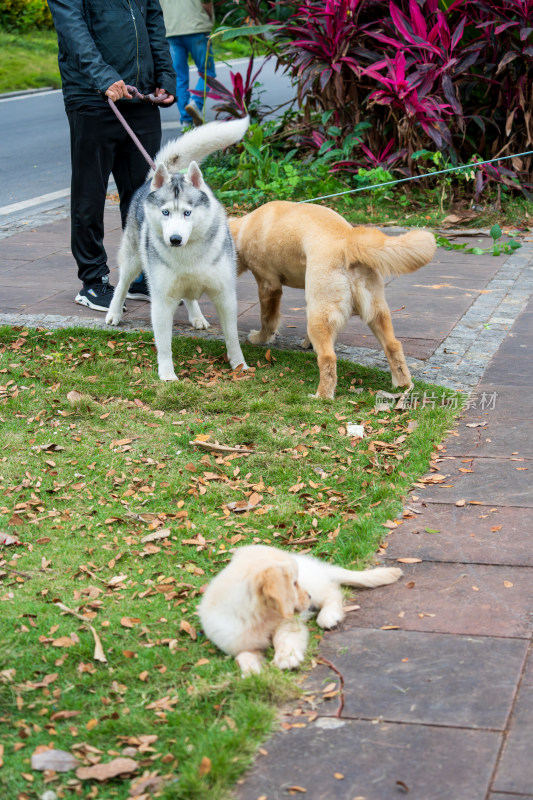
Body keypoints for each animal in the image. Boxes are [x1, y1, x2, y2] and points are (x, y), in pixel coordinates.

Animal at [108, 116, 251, 382]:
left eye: (187, 213)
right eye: (165, 212)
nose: (174, 239)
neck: (188, 253)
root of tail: (155, 177)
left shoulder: (225, 295)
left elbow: (233, 337)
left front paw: (239, 366)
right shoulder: (162, 300)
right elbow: (164, 344)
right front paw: (167, 374)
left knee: (189, 295)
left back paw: (197, 317)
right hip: (133, 260)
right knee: (122, 284)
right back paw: (113, 312)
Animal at [197, 544, 402, 676]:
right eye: (294, 583)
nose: (308, 596)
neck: (259, 617)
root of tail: (319, 567)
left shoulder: (289, 621)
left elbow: (283, 637)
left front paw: (286, 658)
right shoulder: (235, 641)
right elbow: (244, 655)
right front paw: (252, 670)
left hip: (317, 586)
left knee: (333, 592)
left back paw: (329, 616)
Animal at [227, 202, 434, 398]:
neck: (244, 227)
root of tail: (349, 241)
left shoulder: (268, 285)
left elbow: (267, 319)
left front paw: (260, 338)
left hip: (319, 314)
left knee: (328, 358)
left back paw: (322, 396)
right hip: (376, 311)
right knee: (393, 345)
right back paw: (402, 384)